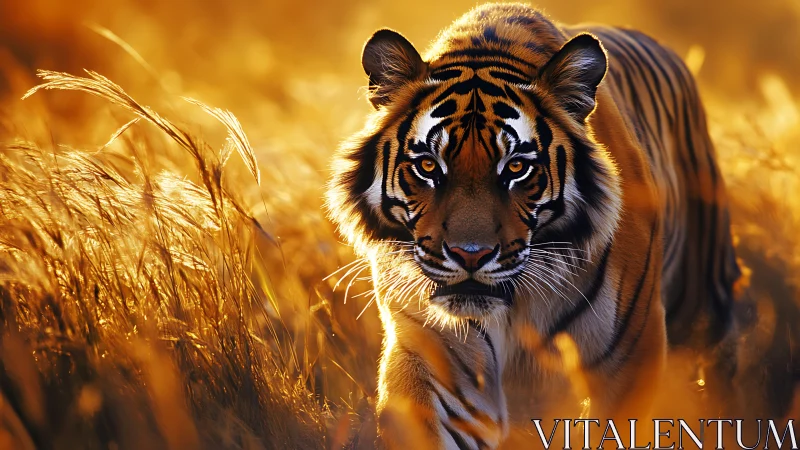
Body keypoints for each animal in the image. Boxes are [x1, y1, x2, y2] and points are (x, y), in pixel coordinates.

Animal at [326, 3, 742, 448]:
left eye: (516, 168)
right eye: (427, 166)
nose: (469, 255)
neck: (517, 307)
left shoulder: (628, 357)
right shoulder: (432, 354)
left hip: (703, 307)